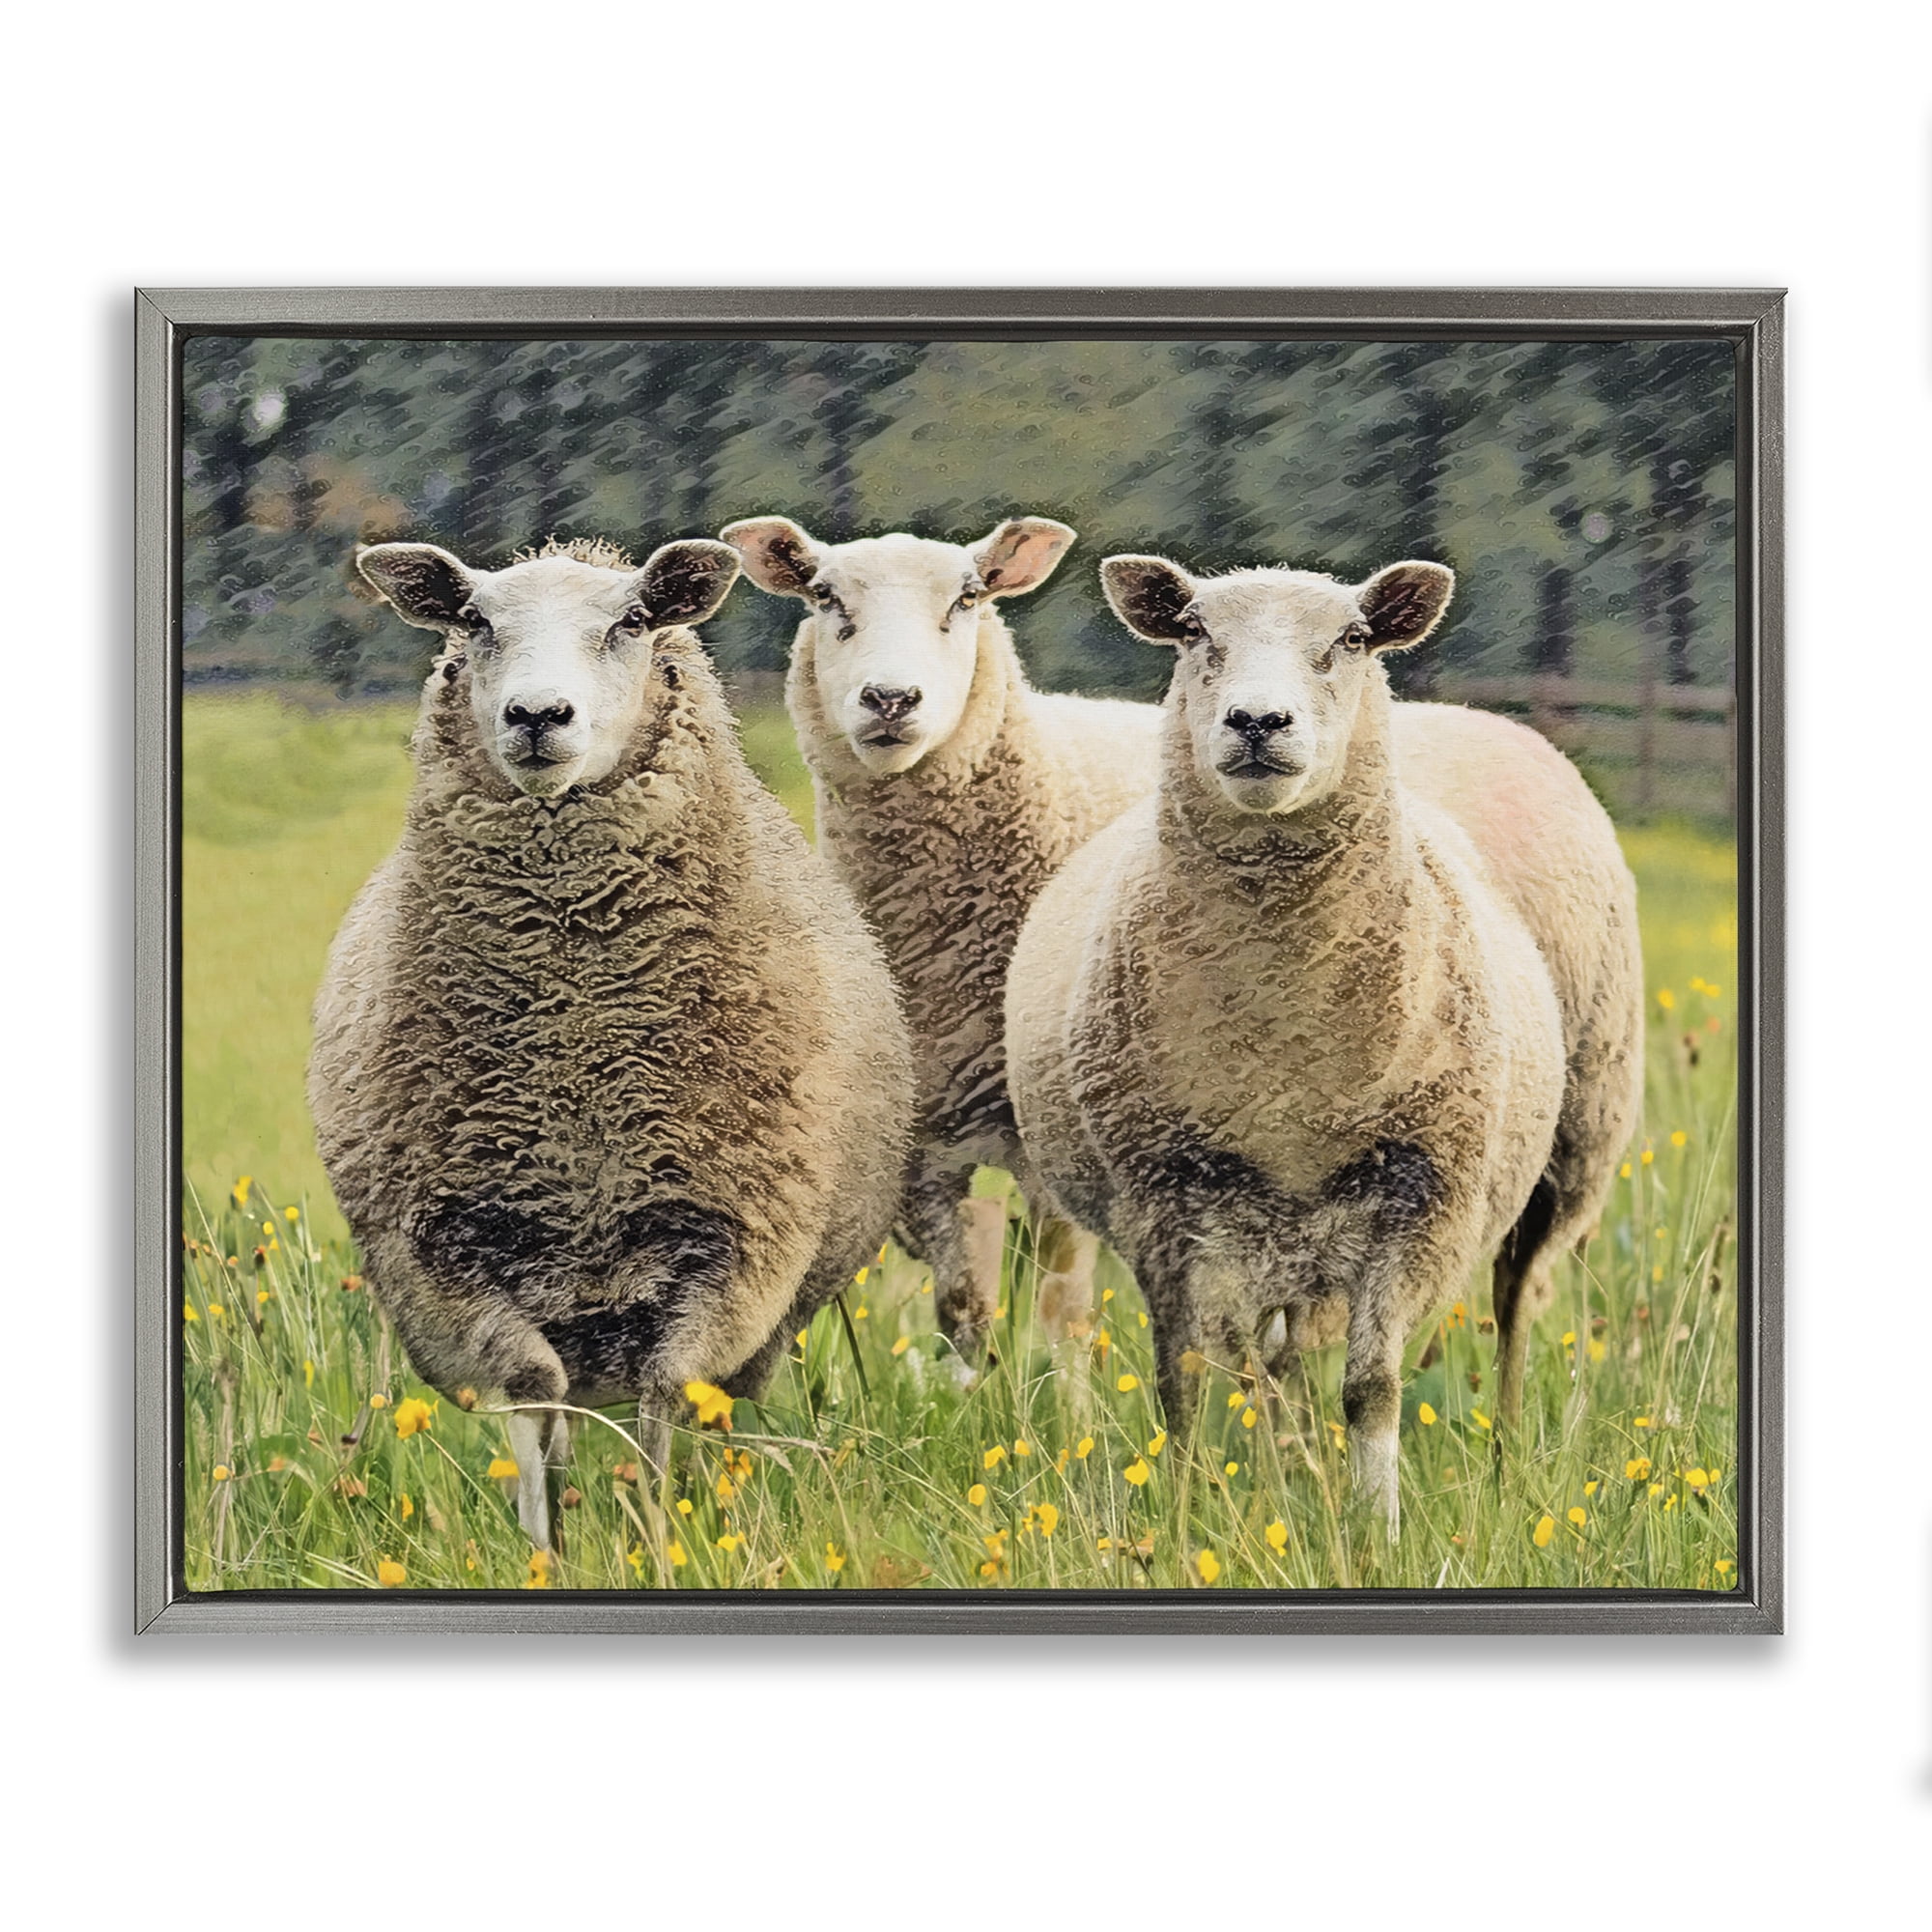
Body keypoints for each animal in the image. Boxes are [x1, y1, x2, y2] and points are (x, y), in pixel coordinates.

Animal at [309, 535, 914, 1549]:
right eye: (472, 620)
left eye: (630, 621)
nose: (537, 715)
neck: (579, 1048)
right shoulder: (447, 1252)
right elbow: (533, 1391)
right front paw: (544, 1548)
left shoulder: (732, 1243)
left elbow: (669, 1394)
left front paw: (660, 1541)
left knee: (702, 1406)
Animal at [720, 514, 1164, 1362]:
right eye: (824, 596)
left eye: (966, 598)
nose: (891, 698)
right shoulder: (919, 1148)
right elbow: (963, 1309)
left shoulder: (1052, 1136)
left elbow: (1059, 1308)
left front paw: (1059, 1398)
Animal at [1004, 552, 1643, 1532]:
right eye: (1193, 631)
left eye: (1351, 639)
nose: (1258, 721)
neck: (1287, 1048)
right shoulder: (1162, 1199)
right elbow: (1185, 1381)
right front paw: (1185, 1516)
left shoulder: (1424, 1193)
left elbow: (1372, 1388)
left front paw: (1376, 1527)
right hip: (1279, 1233)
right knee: (1275, 1363)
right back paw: (1290, 1470)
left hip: (1573, 1148)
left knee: (1517, 1306)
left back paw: (1505, 1461)